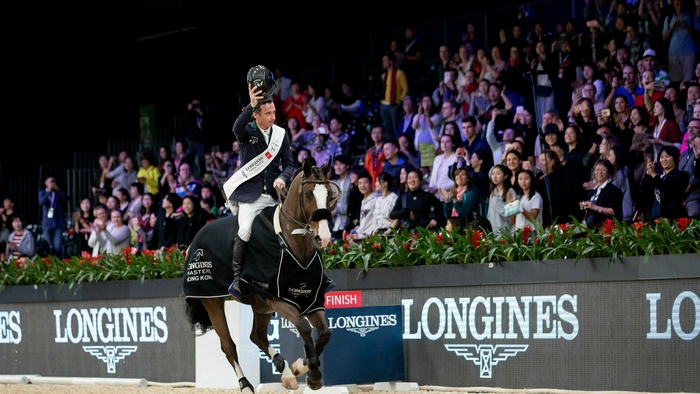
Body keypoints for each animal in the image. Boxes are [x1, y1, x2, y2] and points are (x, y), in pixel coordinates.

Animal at [182, 159, 340, 390]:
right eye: (308, 194)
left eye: (329, 193)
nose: (325, 237)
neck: (294, 244)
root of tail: (199, 234)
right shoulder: (279, 300)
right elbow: (303, 326)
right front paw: (312, 372)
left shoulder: (312, 300)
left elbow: (325, 334)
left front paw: (301, 369)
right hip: (213, 301)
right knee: (228, 346)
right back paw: (247, 385)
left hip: (260, 304)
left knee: (257, 336)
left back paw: (286, 373)